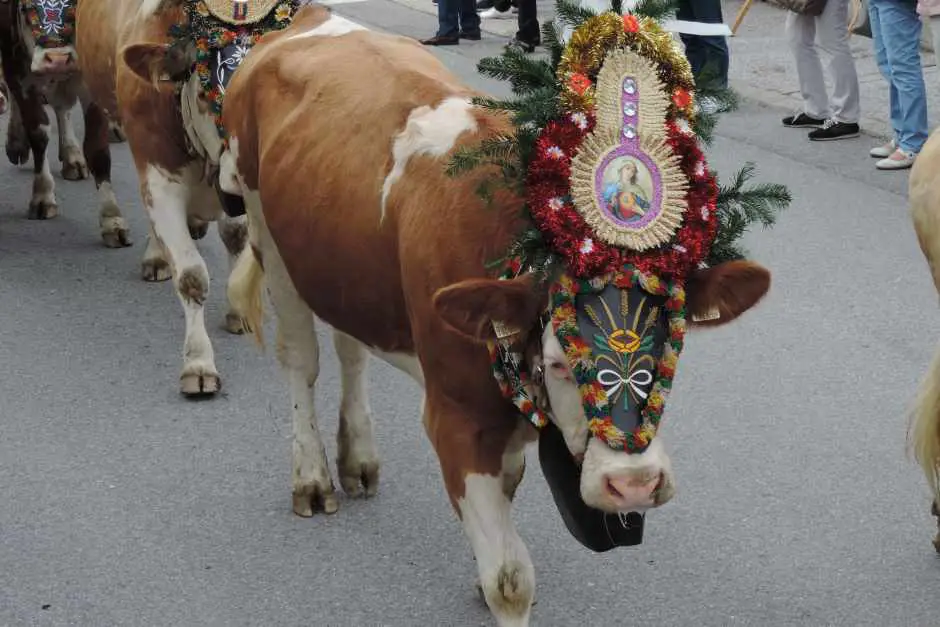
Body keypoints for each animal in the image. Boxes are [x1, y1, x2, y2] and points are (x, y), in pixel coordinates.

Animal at [0, 0, 129, 248]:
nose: (58, 59)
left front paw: (112, 220)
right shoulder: (18, 67)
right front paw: (42, 195)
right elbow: (38, 133)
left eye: (76, 10)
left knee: (62, 106)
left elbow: (97, 150)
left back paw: (72, 155)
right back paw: (16, 142)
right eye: (26, 9)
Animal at [76, 0, 253, 392]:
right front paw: (199, 363)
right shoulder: (159, 180)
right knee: (97, 153)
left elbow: (235, 236)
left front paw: (238, 310)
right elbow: (191, 276)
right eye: (205, 93)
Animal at [125, 6, 768, 627]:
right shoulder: (456, 417)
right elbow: (511, 579)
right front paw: (495, 579)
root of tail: (294, 25)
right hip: (268, 234)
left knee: (351, 347)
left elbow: (505, 504)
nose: (633, 484)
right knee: (301, 361)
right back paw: (311, 476)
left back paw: (358, 458)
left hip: (342, 264)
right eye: (562, 362)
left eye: (672, 350)